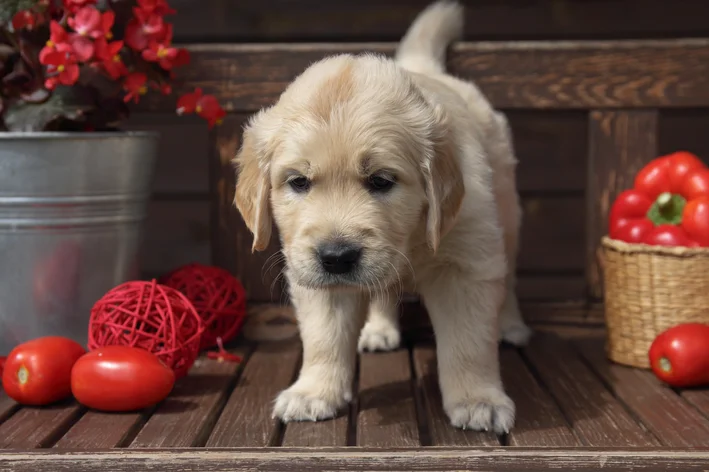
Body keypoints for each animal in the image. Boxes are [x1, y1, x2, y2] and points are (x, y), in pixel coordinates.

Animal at [234, 0, 532, 436]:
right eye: (299, 182)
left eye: (381, 181)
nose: (336, 257)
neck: (411, 239)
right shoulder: (315, 274)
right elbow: (324, 337)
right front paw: (314, 392)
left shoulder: (466, 263)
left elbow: (469, 341)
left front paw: (479, 400)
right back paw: (378, 328)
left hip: (508, 214)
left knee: (507, 278)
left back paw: (510, 324)